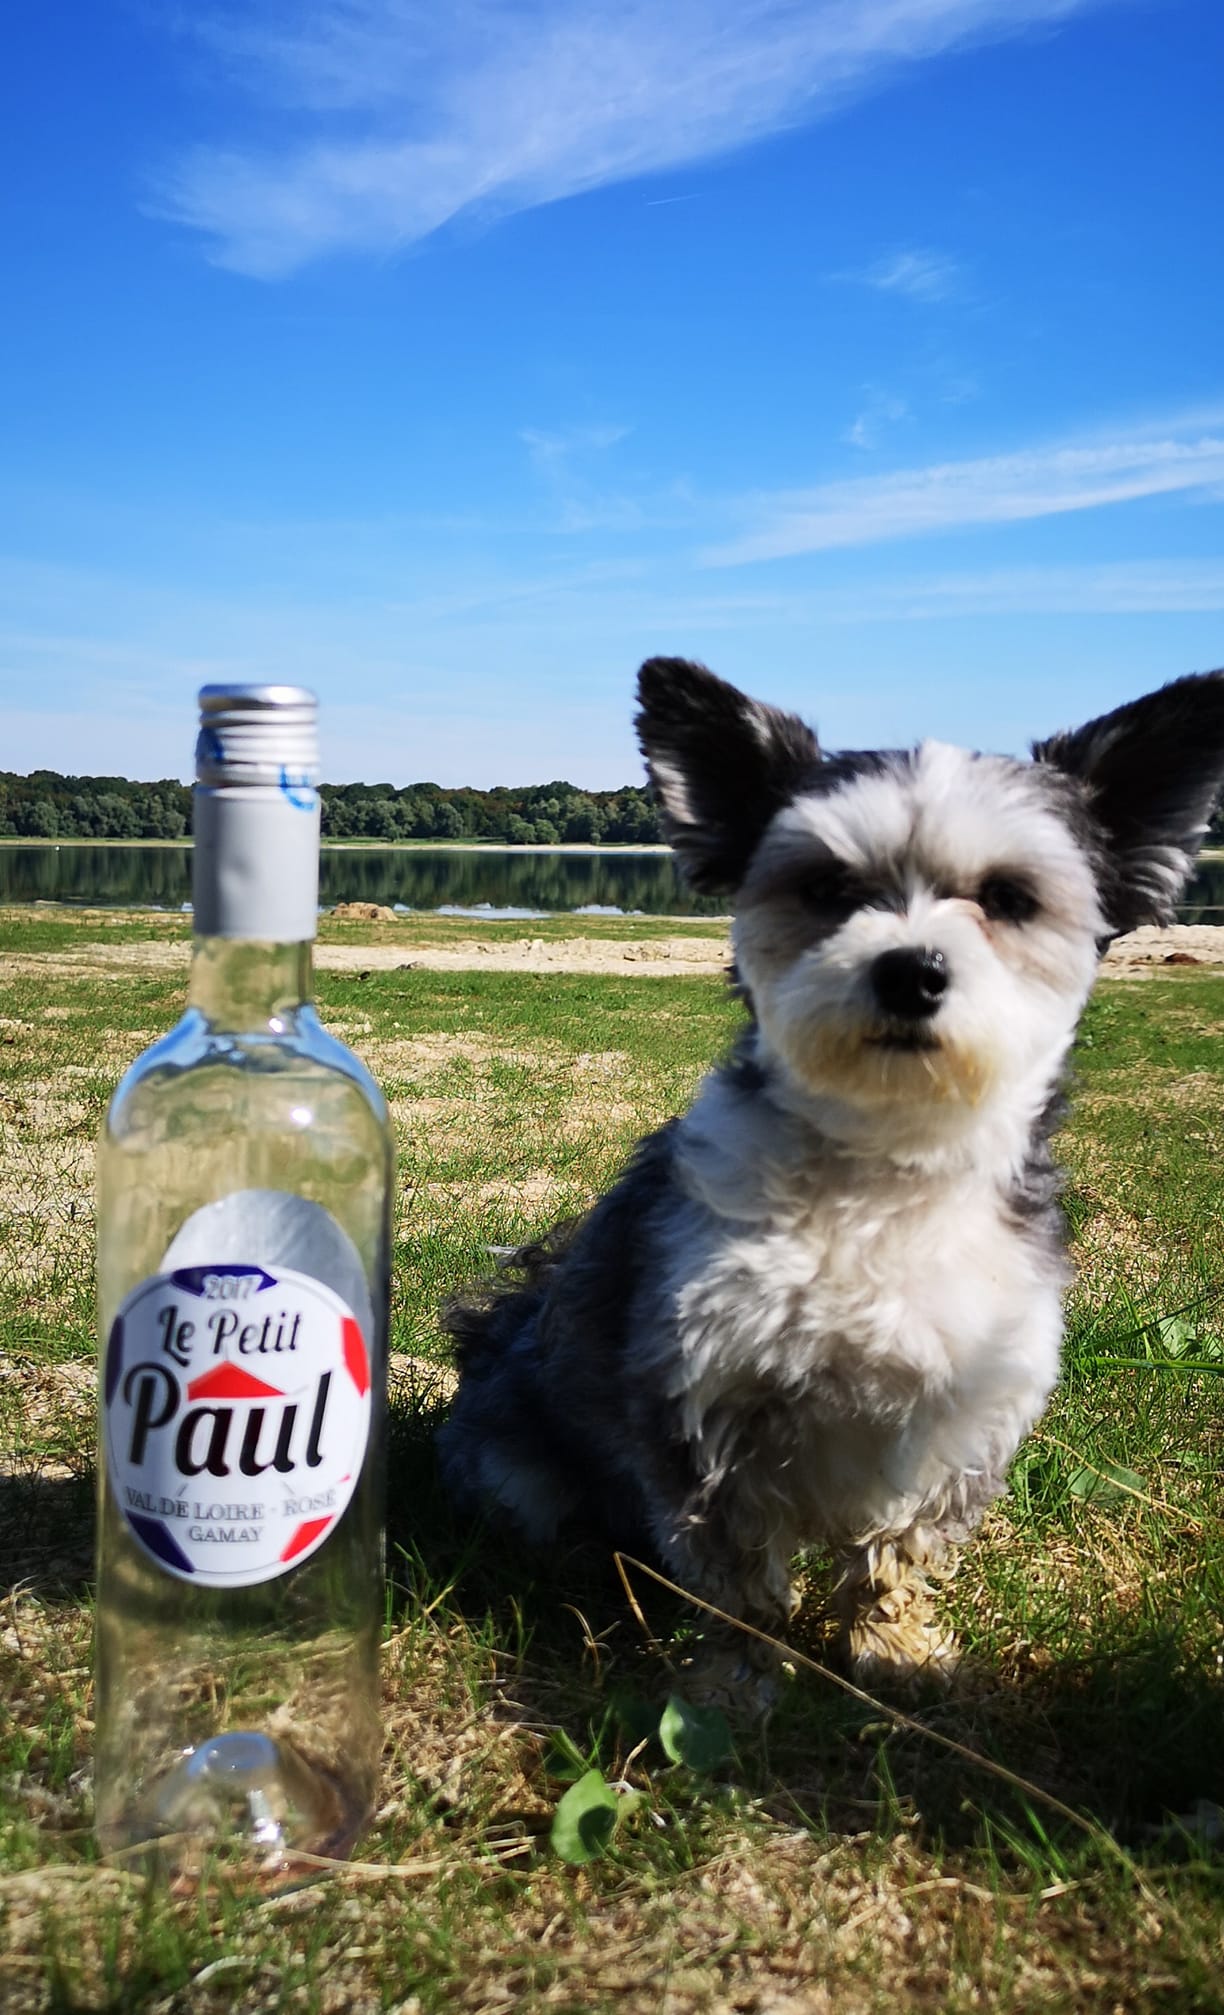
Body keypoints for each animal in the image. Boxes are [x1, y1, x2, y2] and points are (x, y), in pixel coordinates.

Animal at [438, 656, 1224, 1690]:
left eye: (1010, 898)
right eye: (824, 886)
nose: (911, 970)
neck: (881, 1170)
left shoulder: (957, 1414)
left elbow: (897, 1547)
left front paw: (891, 1648)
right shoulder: (704, 1396)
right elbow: (733, 1571)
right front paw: (734, 1682)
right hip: (522, 1465)